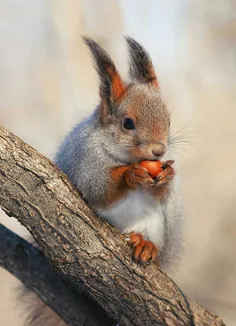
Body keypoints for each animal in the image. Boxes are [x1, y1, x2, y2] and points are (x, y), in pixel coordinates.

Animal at [21, 36, 183, 326]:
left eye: (168, 120)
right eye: (128, 123)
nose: (159, 151)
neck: (123, 157)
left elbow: (161, 193)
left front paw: (167, 176)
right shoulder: (86, 164)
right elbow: (99, 191)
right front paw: (130, 176)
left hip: (157, 224)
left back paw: (145, 244)